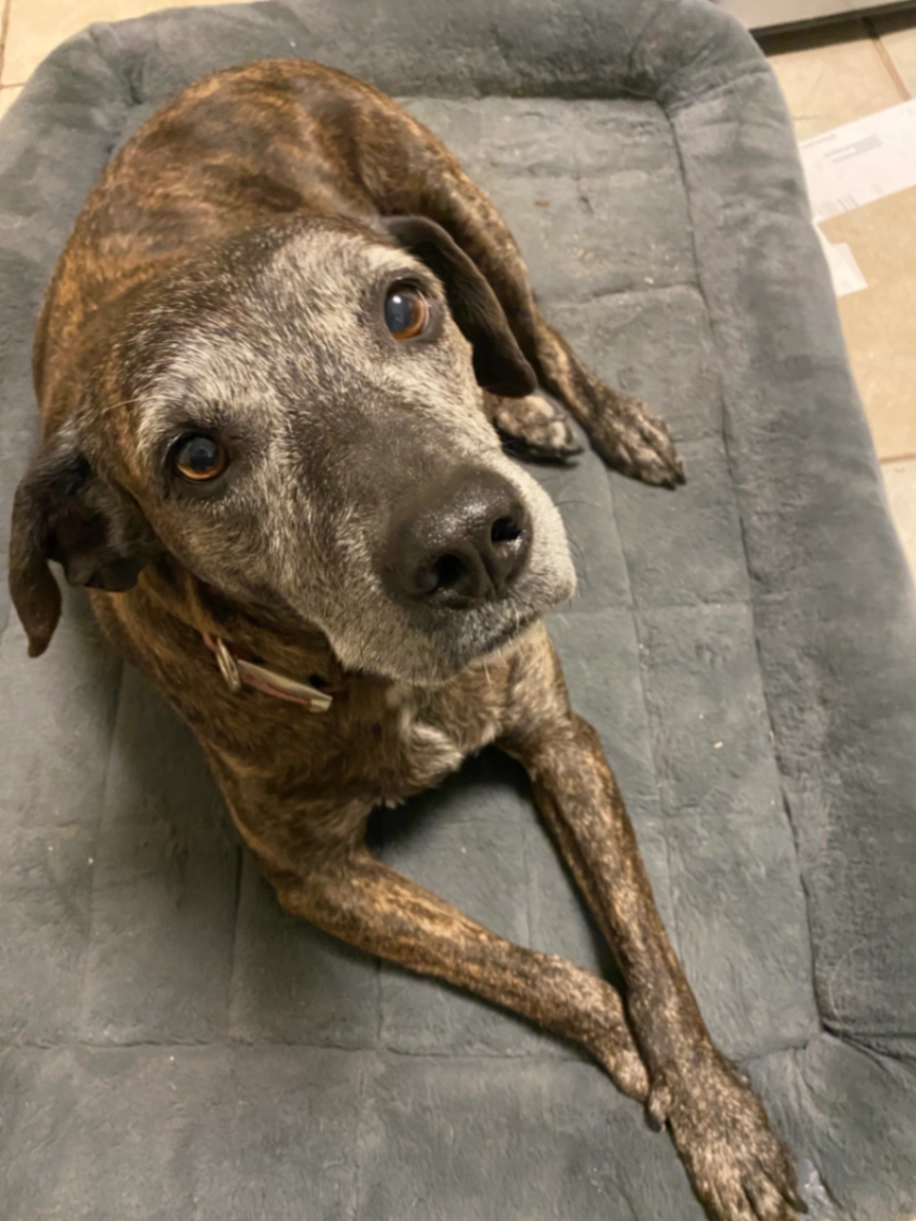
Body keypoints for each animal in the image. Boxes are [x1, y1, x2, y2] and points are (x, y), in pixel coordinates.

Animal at [8, 60, 804, 1221]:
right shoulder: (314, 875)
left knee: (533, 331)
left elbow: (651, 952)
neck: (374, 682)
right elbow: (535, 968)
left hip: (460, 208)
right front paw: (632, 1052)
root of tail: (224, 71)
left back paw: (590, 415)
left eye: (401, 307)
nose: (472, 541)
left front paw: (714, 1112)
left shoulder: (561, 737)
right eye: (196, 456)